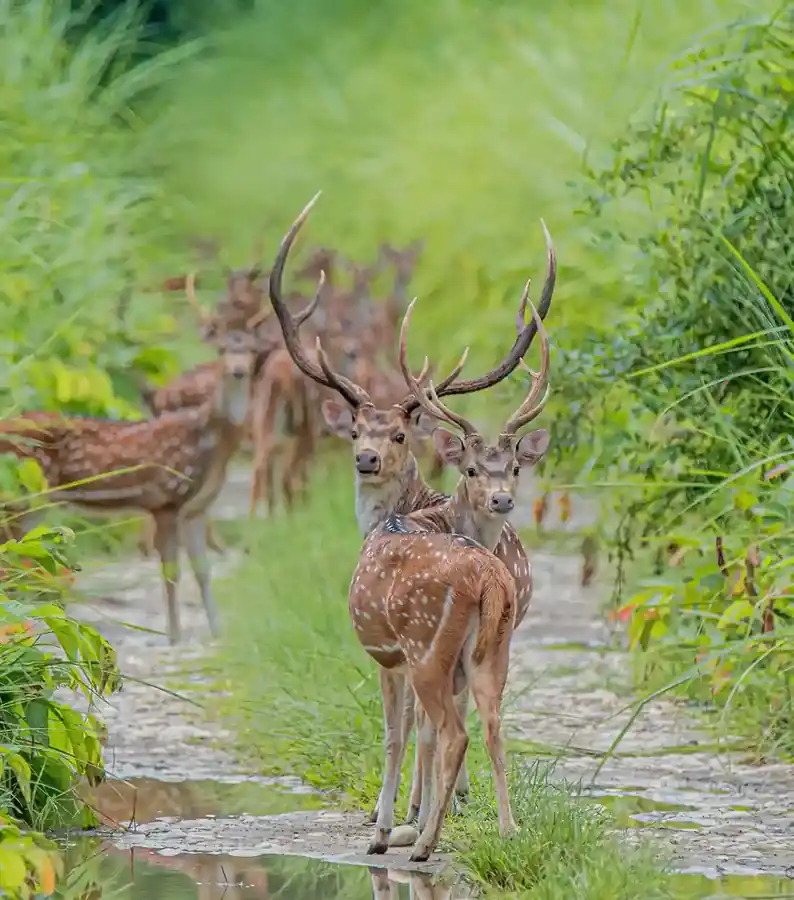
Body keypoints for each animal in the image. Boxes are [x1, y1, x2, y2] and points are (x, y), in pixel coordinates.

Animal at [0, 277, 315, 643]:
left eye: (250, 350)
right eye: (222, 349)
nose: (238, 371)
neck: (210, 442)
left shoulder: (196, 508)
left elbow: (203, 571)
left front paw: (217, 631)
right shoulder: (166, 499)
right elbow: (171, 572)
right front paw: (174, 636)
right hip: (21, 498)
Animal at [266, 192, 556, 826]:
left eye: (400, 434)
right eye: (354, 430)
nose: (367, 459)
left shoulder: (390, 655)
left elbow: (398, 730)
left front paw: (391, 812)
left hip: (432, 646)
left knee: (445, 723)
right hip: (489, 645)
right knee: (485, 720)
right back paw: (493, 819)